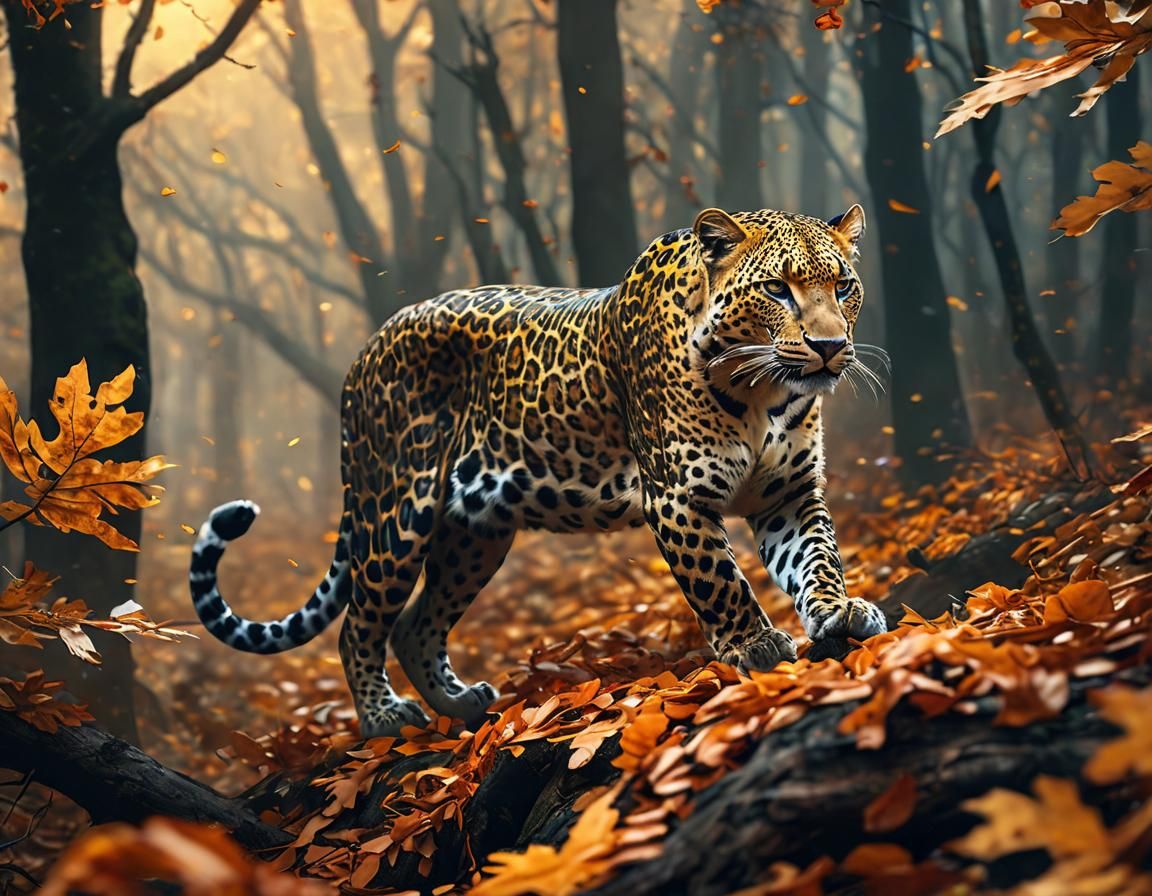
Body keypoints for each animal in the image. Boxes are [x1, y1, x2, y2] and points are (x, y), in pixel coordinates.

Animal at [188, 204, 889, 738]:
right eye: (777, 289)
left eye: (844, 286)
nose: (830, 347)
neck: (762, 392)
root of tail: (365, 350)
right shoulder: (677, 497)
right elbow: (720, 580)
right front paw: (753, 645)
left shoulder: (789, 494)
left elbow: (817, 559)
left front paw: (840, 613)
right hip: (397, 511)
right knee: (360, 624)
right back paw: (383, 715)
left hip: (475, 533)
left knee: (416, 626)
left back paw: (460, 704)